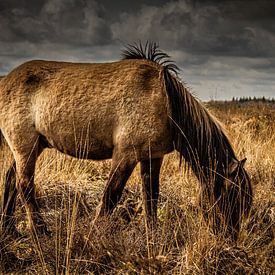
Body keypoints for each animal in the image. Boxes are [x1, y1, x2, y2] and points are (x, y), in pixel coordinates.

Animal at [0, 42, 254, 240]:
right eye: (233, 197)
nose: (231, 238)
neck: (166, 101)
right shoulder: (126, 155)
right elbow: (110, 197)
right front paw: (92, 237)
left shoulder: (152, 157)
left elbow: (151, 197)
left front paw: (153, 235)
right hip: (25, 148)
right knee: (24, 185)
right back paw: (40, 232)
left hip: (30, 148)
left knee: (11, 180)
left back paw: (9, 229)